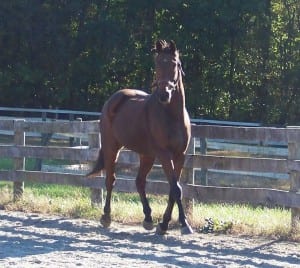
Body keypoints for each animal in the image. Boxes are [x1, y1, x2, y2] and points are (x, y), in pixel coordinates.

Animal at [88, 39, 193, 234]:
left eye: (174, 64)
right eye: (157, 63)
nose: (164, 94)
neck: (172, 115)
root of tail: (113, 99)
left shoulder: (180, 155)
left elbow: (174, 189)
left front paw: (165, 224)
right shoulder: (164, 155)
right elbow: (175, 189)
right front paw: (183, 224)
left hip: (147, 155)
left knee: (139, 182)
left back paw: (148, 218)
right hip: (111, 148)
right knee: (110, 180)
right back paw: (106, 217)